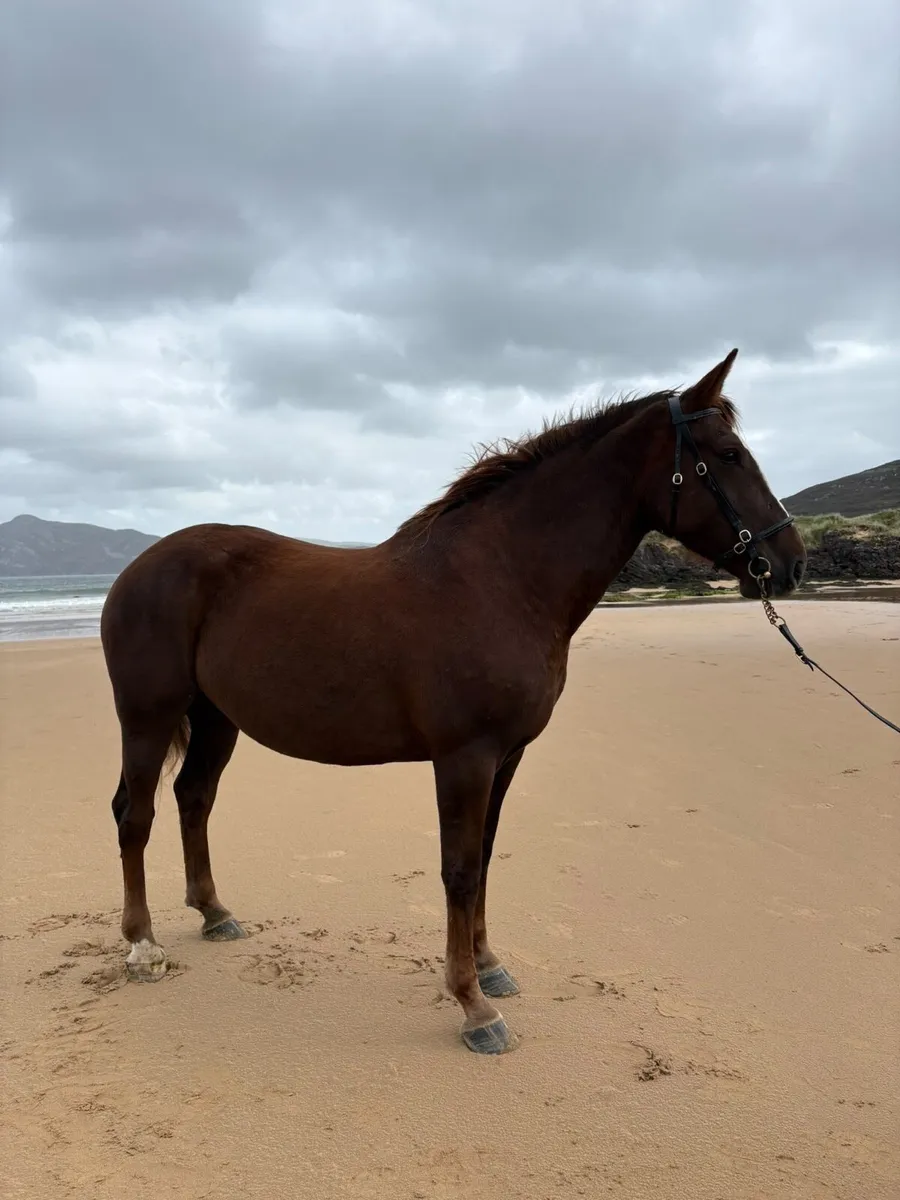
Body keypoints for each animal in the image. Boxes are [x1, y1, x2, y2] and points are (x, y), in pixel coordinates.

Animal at [100, 348, 806, 1055]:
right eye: (728, 454)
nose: (791, 563)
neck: (501, 579)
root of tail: (138, 567)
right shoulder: (465, 758)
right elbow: (459, 871)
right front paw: (473, 1008)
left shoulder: (506, 757)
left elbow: (485, 859)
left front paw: (489, 968)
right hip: (148, 717)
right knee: (136, 815)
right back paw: (142, 947)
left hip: (216, 720)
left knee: (193, 799)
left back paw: (214, 913)